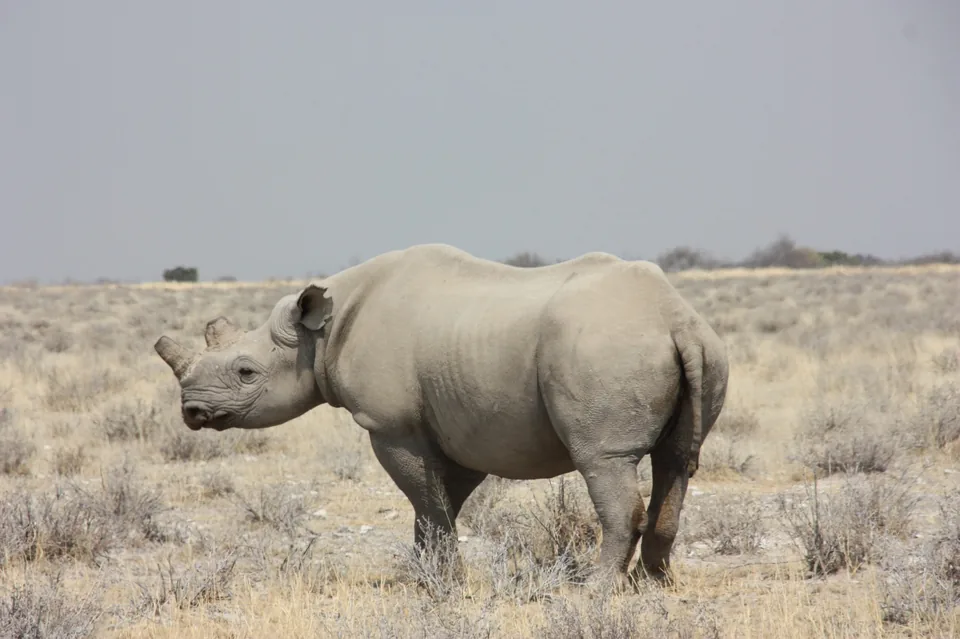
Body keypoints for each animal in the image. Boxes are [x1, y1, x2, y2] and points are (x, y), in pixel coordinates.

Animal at [154, 243, 728, 589]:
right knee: (677, 460)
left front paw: (444, 583)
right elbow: (438, 502)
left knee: (604, 461)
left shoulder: (389, 425)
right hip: (701, 347)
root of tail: (675, 318)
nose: (192, 411)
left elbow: (427, 502)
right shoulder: (457, 427)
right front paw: (426, 574)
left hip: (604, 349)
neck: (318, 334)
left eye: (245, 372)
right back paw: (653, 585)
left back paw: (596, 591)